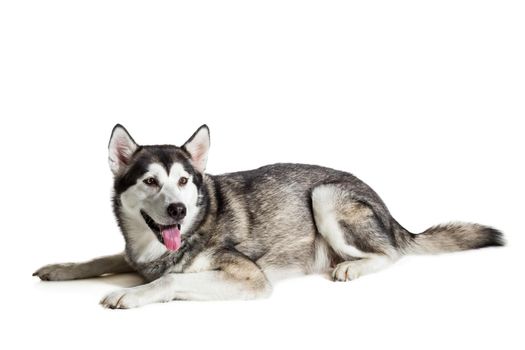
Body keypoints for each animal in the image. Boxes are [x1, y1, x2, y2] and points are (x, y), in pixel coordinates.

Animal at [32, 124, 504, 308]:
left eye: (183, 180)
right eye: (150, 181)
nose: (178, 209)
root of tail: (388, 209)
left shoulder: (251, 278)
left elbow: (170, 280)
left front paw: (129, 294)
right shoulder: (133, 254)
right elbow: (103, 258)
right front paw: (60, 268)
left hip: (325, 196)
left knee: (391, 253)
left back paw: (350, 268)